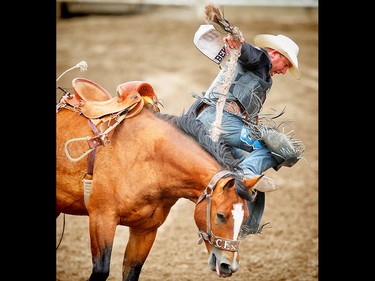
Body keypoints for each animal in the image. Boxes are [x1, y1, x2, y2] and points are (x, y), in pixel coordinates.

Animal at [57, 82, 266, 278]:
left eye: (245, 217)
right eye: (220, 215)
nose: (228, 266)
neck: (149, 160)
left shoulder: (146, 230)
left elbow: (131, 270)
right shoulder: (102, 219)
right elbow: (101, 270)